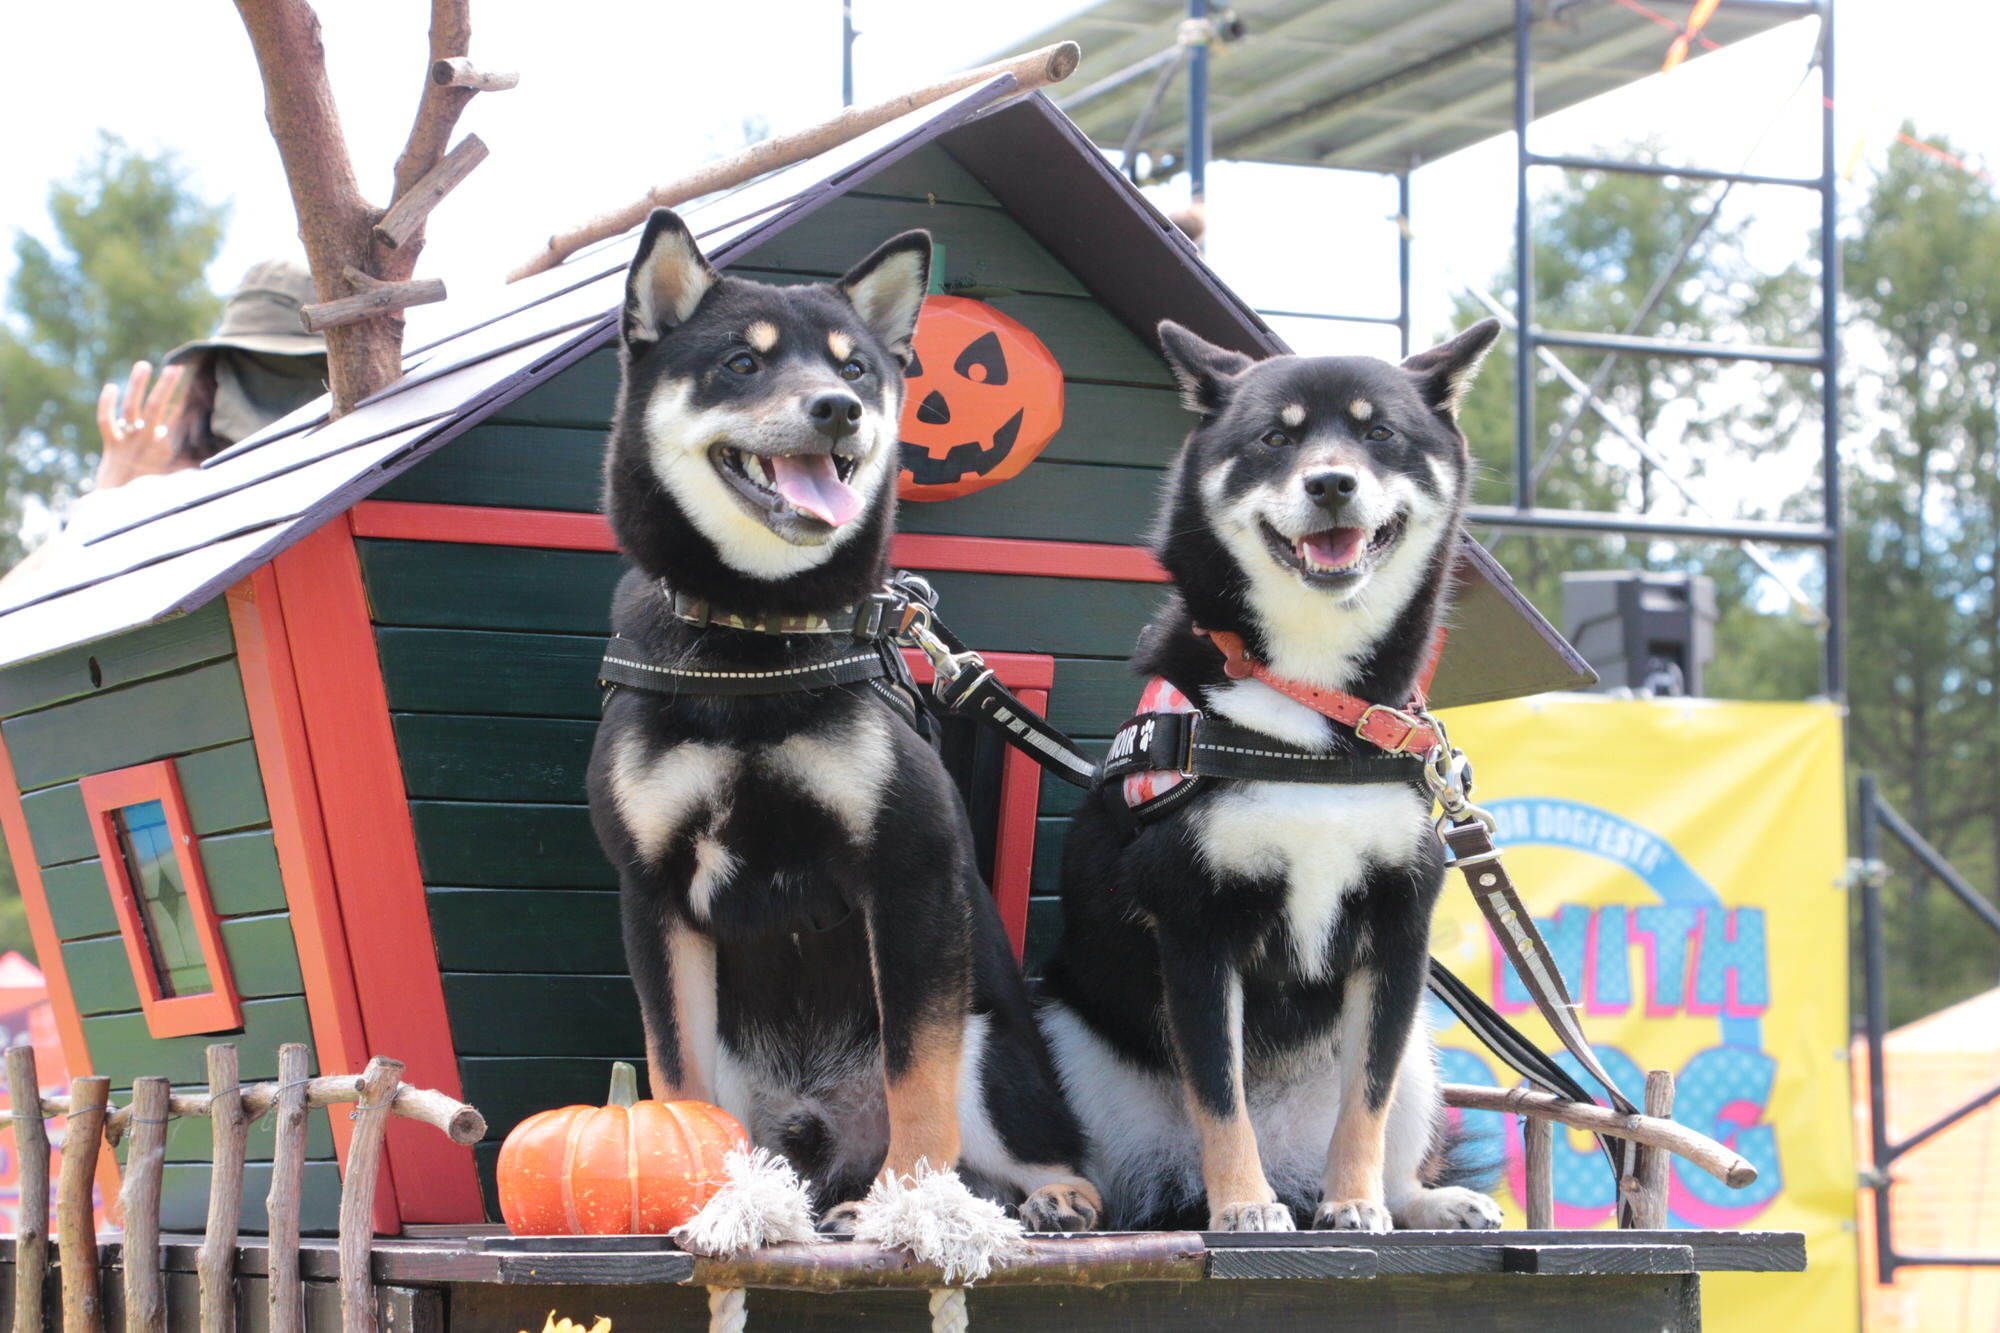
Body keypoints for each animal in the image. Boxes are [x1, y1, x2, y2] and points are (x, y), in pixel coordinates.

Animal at [584, 213, 1104, 1232]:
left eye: (857, 368)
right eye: (741, 363)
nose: (837, 409)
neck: (752, 639)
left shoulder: (909, 871)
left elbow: (918, 1079)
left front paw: (909, 1202)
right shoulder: (653, 890)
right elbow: (673, 1076)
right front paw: (713, 1200)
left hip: (989, 1041)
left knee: (1035, 1150)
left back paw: (1042, 1195)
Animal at [1040, 316, 1504, 1232]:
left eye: (1378, 433)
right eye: (1275, 439)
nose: (1330, 482)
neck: (1309, 706)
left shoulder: (1400, 928)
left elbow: (1366, 1099)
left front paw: (1356, 1202)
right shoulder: (1195, 923)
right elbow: (1220, 1095)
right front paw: (1245, 1206)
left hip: (1421, 1052)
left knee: (1389, 1128)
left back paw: (1419, 1200)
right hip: (1053, 1030)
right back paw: (1062, 1197)